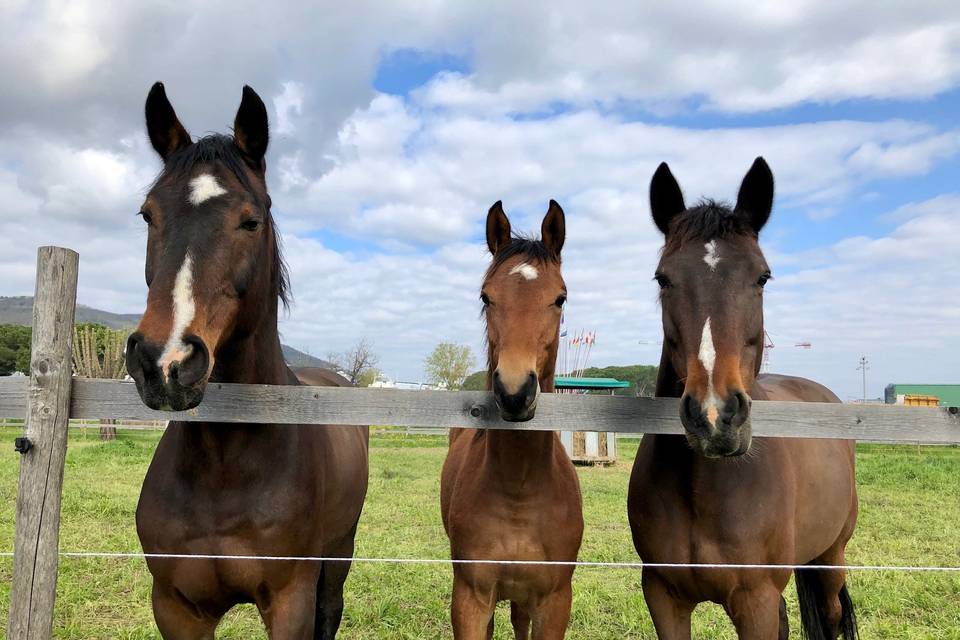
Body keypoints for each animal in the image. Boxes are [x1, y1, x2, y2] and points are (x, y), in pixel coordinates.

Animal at [125, 82, 370, 636]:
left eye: (250, 221)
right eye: (148, 214)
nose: (164, 361)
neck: (226, 466)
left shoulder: (289, 600)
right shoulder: (175, 607)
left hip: (338, 554)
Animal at [438, 201, 580, 640]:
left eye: (560, 298)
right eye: (487, 296)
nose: (515, 392)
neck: (519, 491)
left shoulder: (554, 603)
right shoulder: (470, 599)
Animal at [628, 159, 860, 640]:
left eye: (762, 276)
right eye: (663, 278)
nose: (715, 417)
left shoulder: (755, 601)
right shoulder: (663, 598)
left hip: (830, 558)